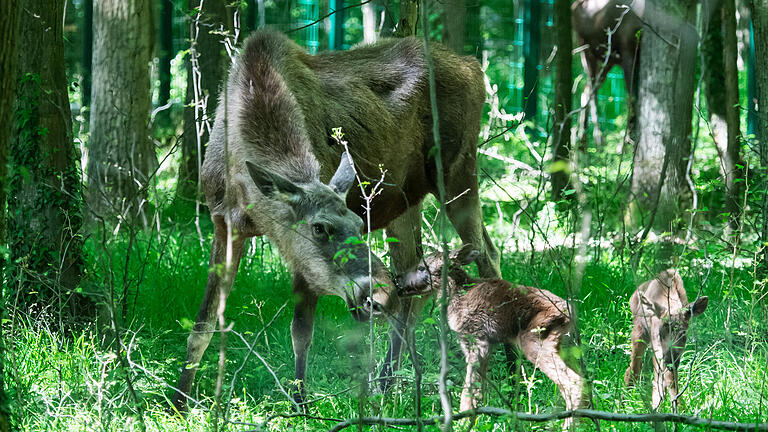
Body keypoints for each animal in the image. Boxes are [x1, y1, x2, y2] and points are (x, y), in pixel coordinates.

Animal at [171, 31, 500, 412]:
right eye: (319, 227)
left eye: (359, 224)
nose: (379, 293)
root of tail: (474, 66)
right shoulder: (224, 223)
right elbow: (202, 326)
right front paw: (178, 402)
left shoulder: (301, 257)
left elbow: (301, 332)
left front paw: (300, 405)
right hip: (406, 201)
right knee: (418, 278)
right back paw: (386, 383)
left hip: (457, 172)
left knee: (486, 255)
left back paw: (507, 373)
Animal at [392, 245, 584, 414]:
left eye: (421, 267)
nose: (397, 279)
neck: (458, 295)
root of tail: (569, 313)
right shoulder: (486, 343)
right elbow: (480, 387)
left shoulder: (476, 337)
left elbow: (470, 387)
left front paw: (464, 417)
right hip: (565, 344)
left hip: (535, 338)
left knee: (575, 383)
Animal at [624, 268, 708, 410]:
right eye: (660, 333)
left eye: (683, 333)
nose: (670, 360)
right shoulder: (654, 343)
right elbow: (658, 379)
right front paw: (657, 405)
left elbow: (670, 380)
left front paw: (679, 407)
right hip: (639, 332)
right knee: (632, 369)